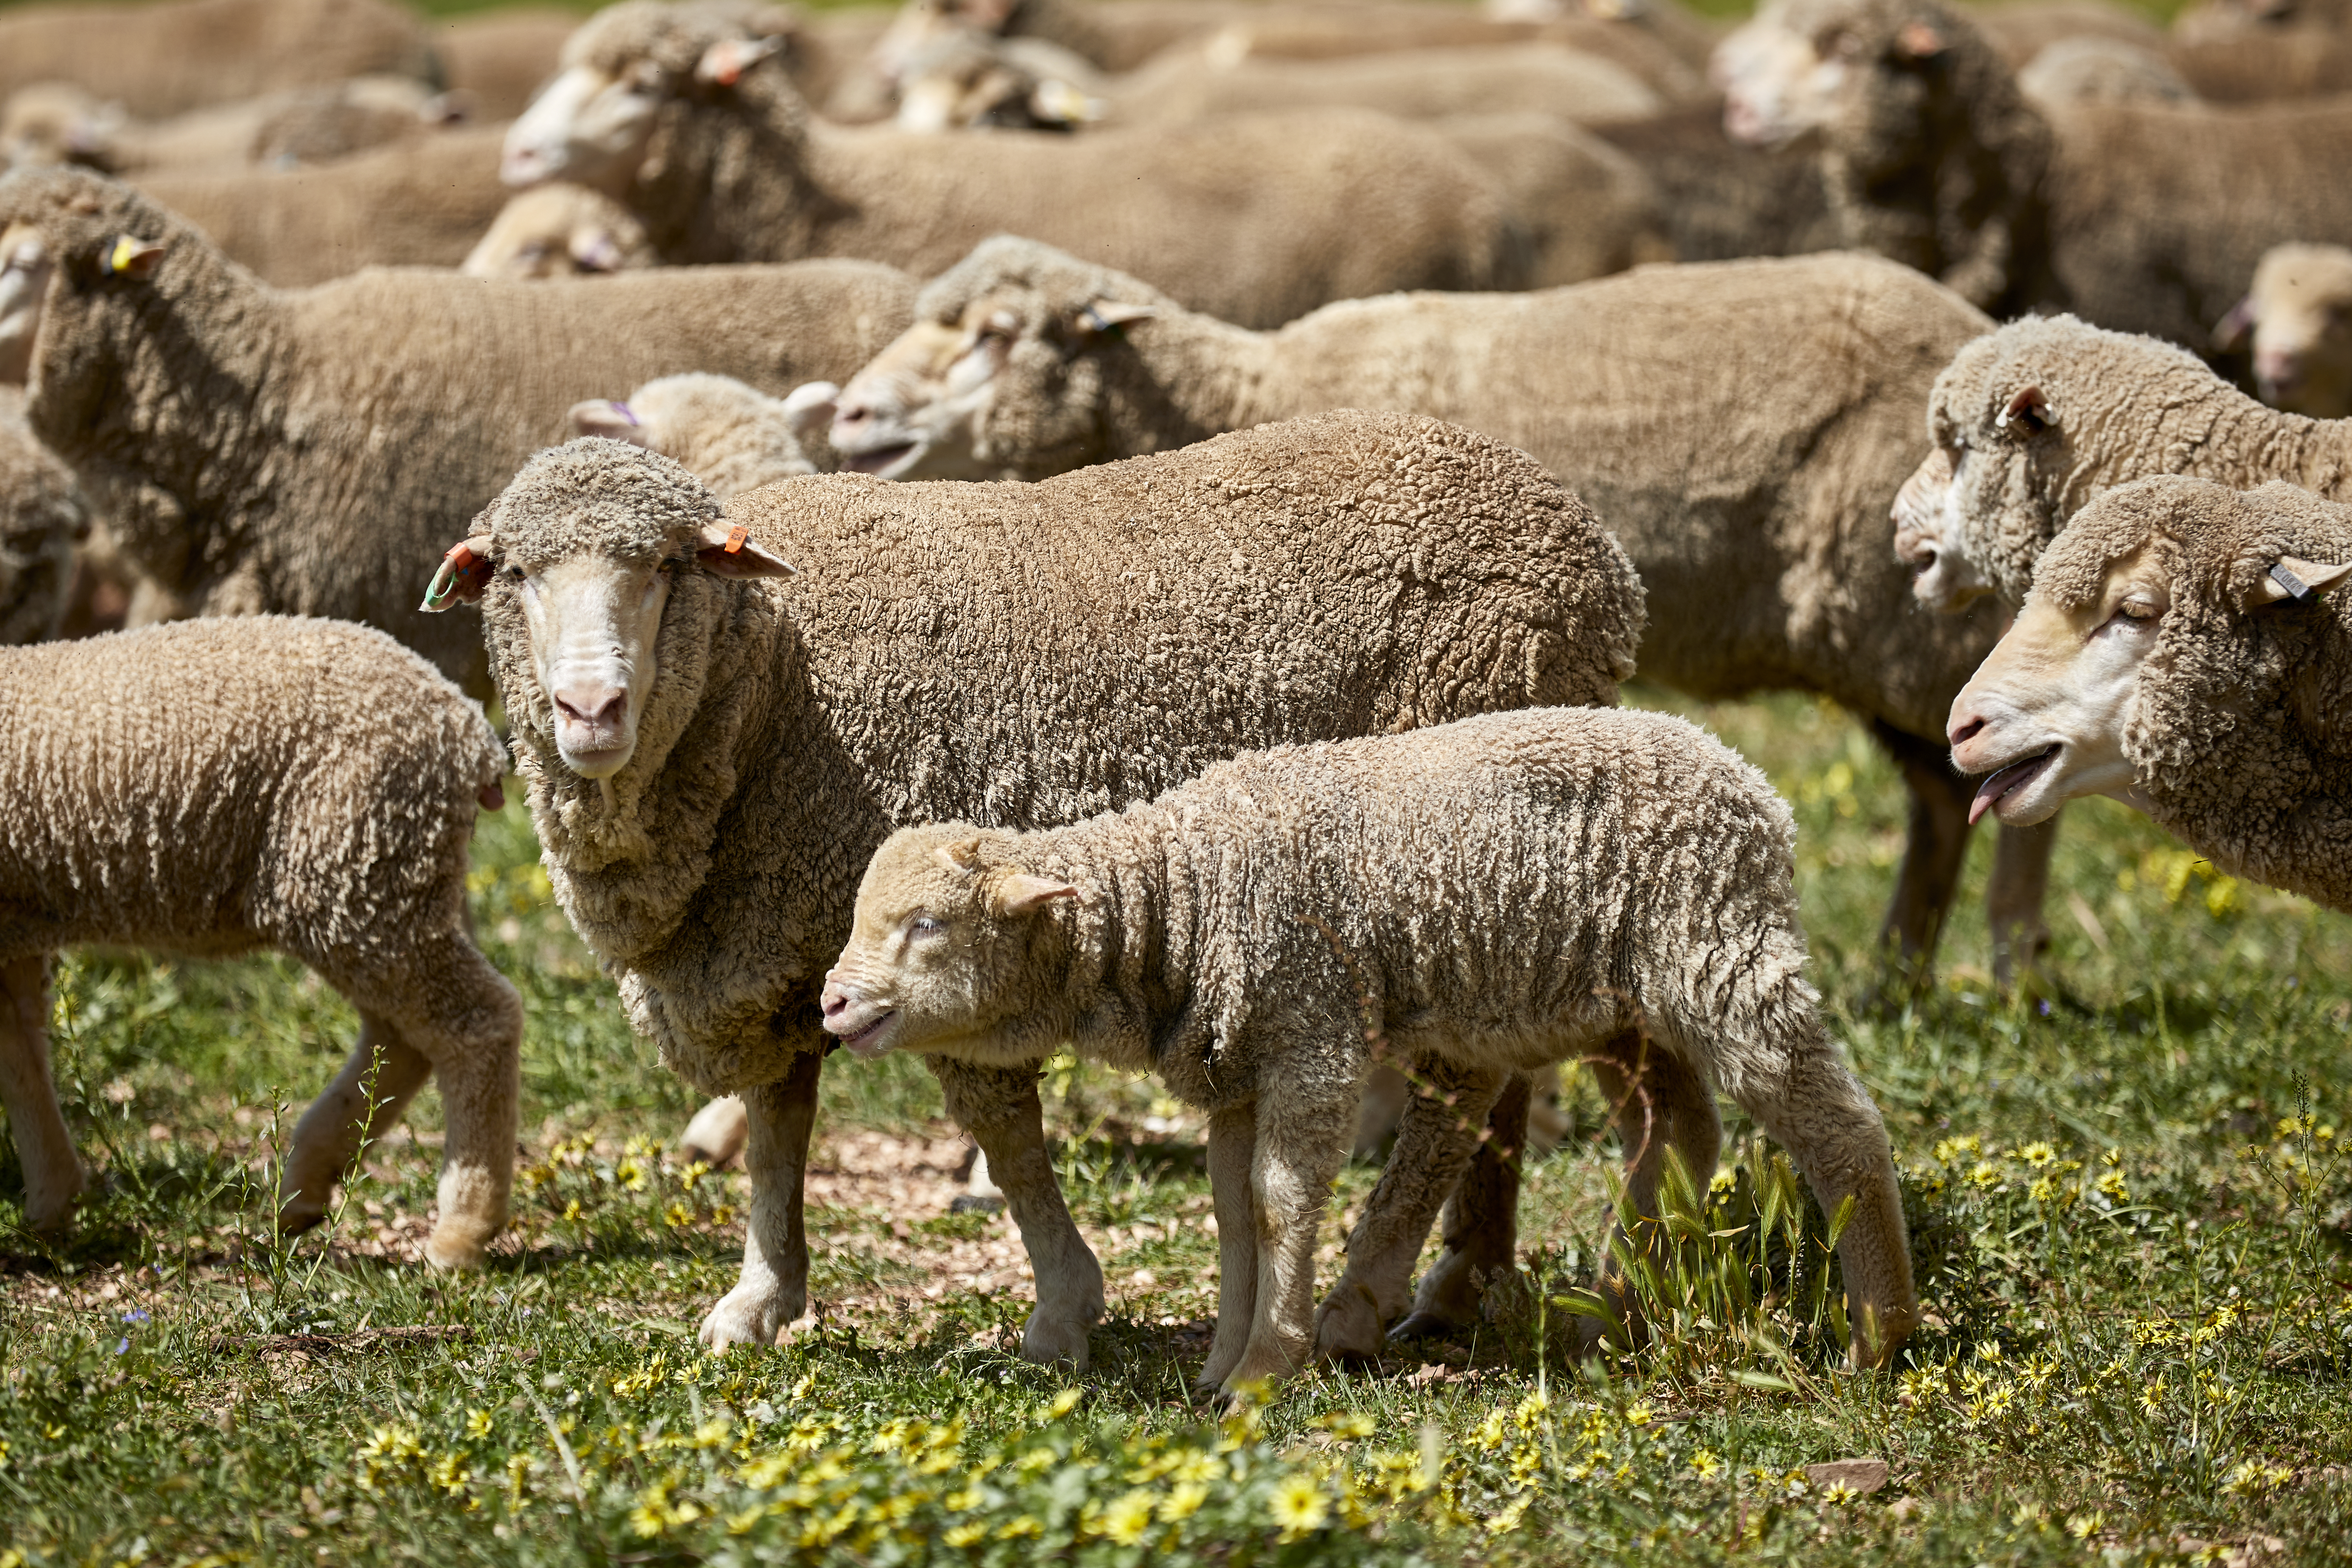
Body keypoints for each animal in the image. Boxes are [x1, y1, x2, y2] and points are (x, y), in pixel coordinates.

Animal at [0, 615, 521, 1266]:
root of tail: (467, 725)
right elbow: (18, 1048)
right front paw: (52, 1201)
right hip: (391, 882)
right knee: (402, 1039)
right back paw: (304, 1187)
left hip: (350, 864)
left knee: (477, 1021)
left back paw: (461, 1229)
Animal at [431, 411, 1646, 1357]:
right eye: (518, 572)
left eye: (670, 568)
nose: (590, 709)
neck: (769, 678)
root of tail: (1591, 551)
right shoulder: (777, 942)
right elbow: (780, 1128)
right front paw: (761, 1297)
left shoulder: (945, 940)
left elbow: (1006, 1137)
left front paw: (1063, 1307)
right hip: (1492, 873)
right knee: (1499, 1071)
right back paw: (1462, 1278)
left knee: (1456, 1087)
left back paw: (1362, 1293)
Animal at [810, 237, 2064, 998]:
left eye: (999, 332)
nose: (856, 413)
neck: (1243, 389)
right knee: (1941, 794)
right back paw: (1900, 974)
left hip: (1913, 609)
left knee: (2004, 765)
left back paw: (2010, 968)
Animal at [818, 707, 1918, 1392]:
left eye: (927, 925)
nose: (830, 1002)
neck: (1183, 892)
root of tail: (1756, 787)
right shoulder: (1235, 1070)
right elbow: (1233, 1213)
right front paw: (1220, 1362)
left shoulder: (1311, 1034)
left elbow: (1280, 1201)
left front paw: (1267, 1366)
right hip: (1617, 1000)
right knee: (1679, 1123)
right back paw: (1611, 1305)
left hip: (1720, 952)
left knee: (1836, 1125)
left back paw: (1877, 1337)